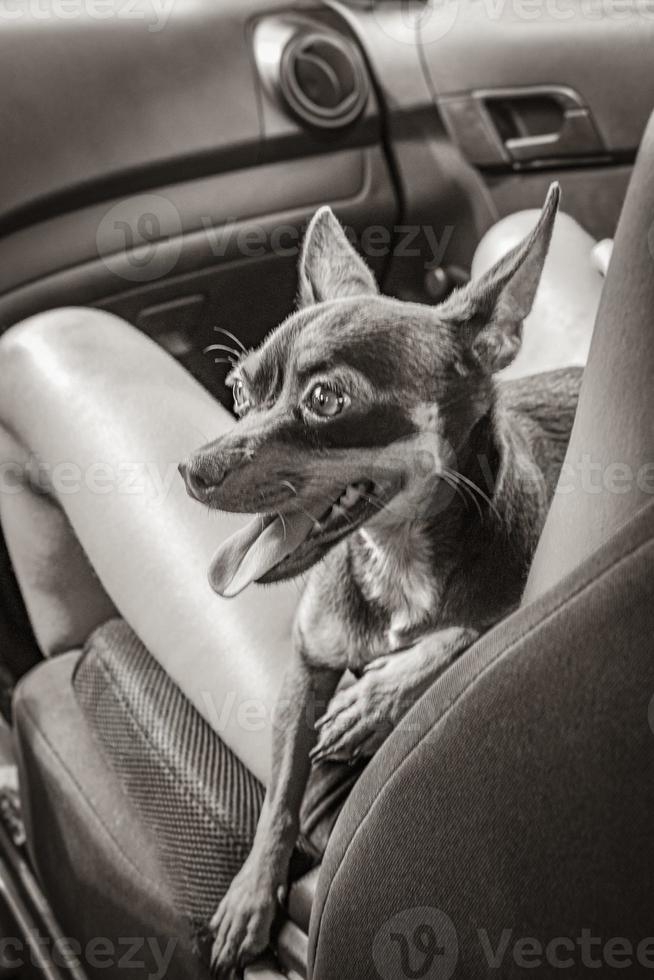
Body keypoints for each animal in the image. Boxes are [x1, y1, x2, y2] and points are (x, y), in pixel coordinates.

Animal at [181, 184, 584, 972]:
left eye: (326, 401)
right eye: (238, 393)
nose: (192, 468)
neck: (395, 556)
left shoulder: (516, 607)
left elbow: (461, 635)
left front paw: (377, 699)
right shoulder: (306, 665)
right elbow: (280, 798)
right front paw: (250, 895)